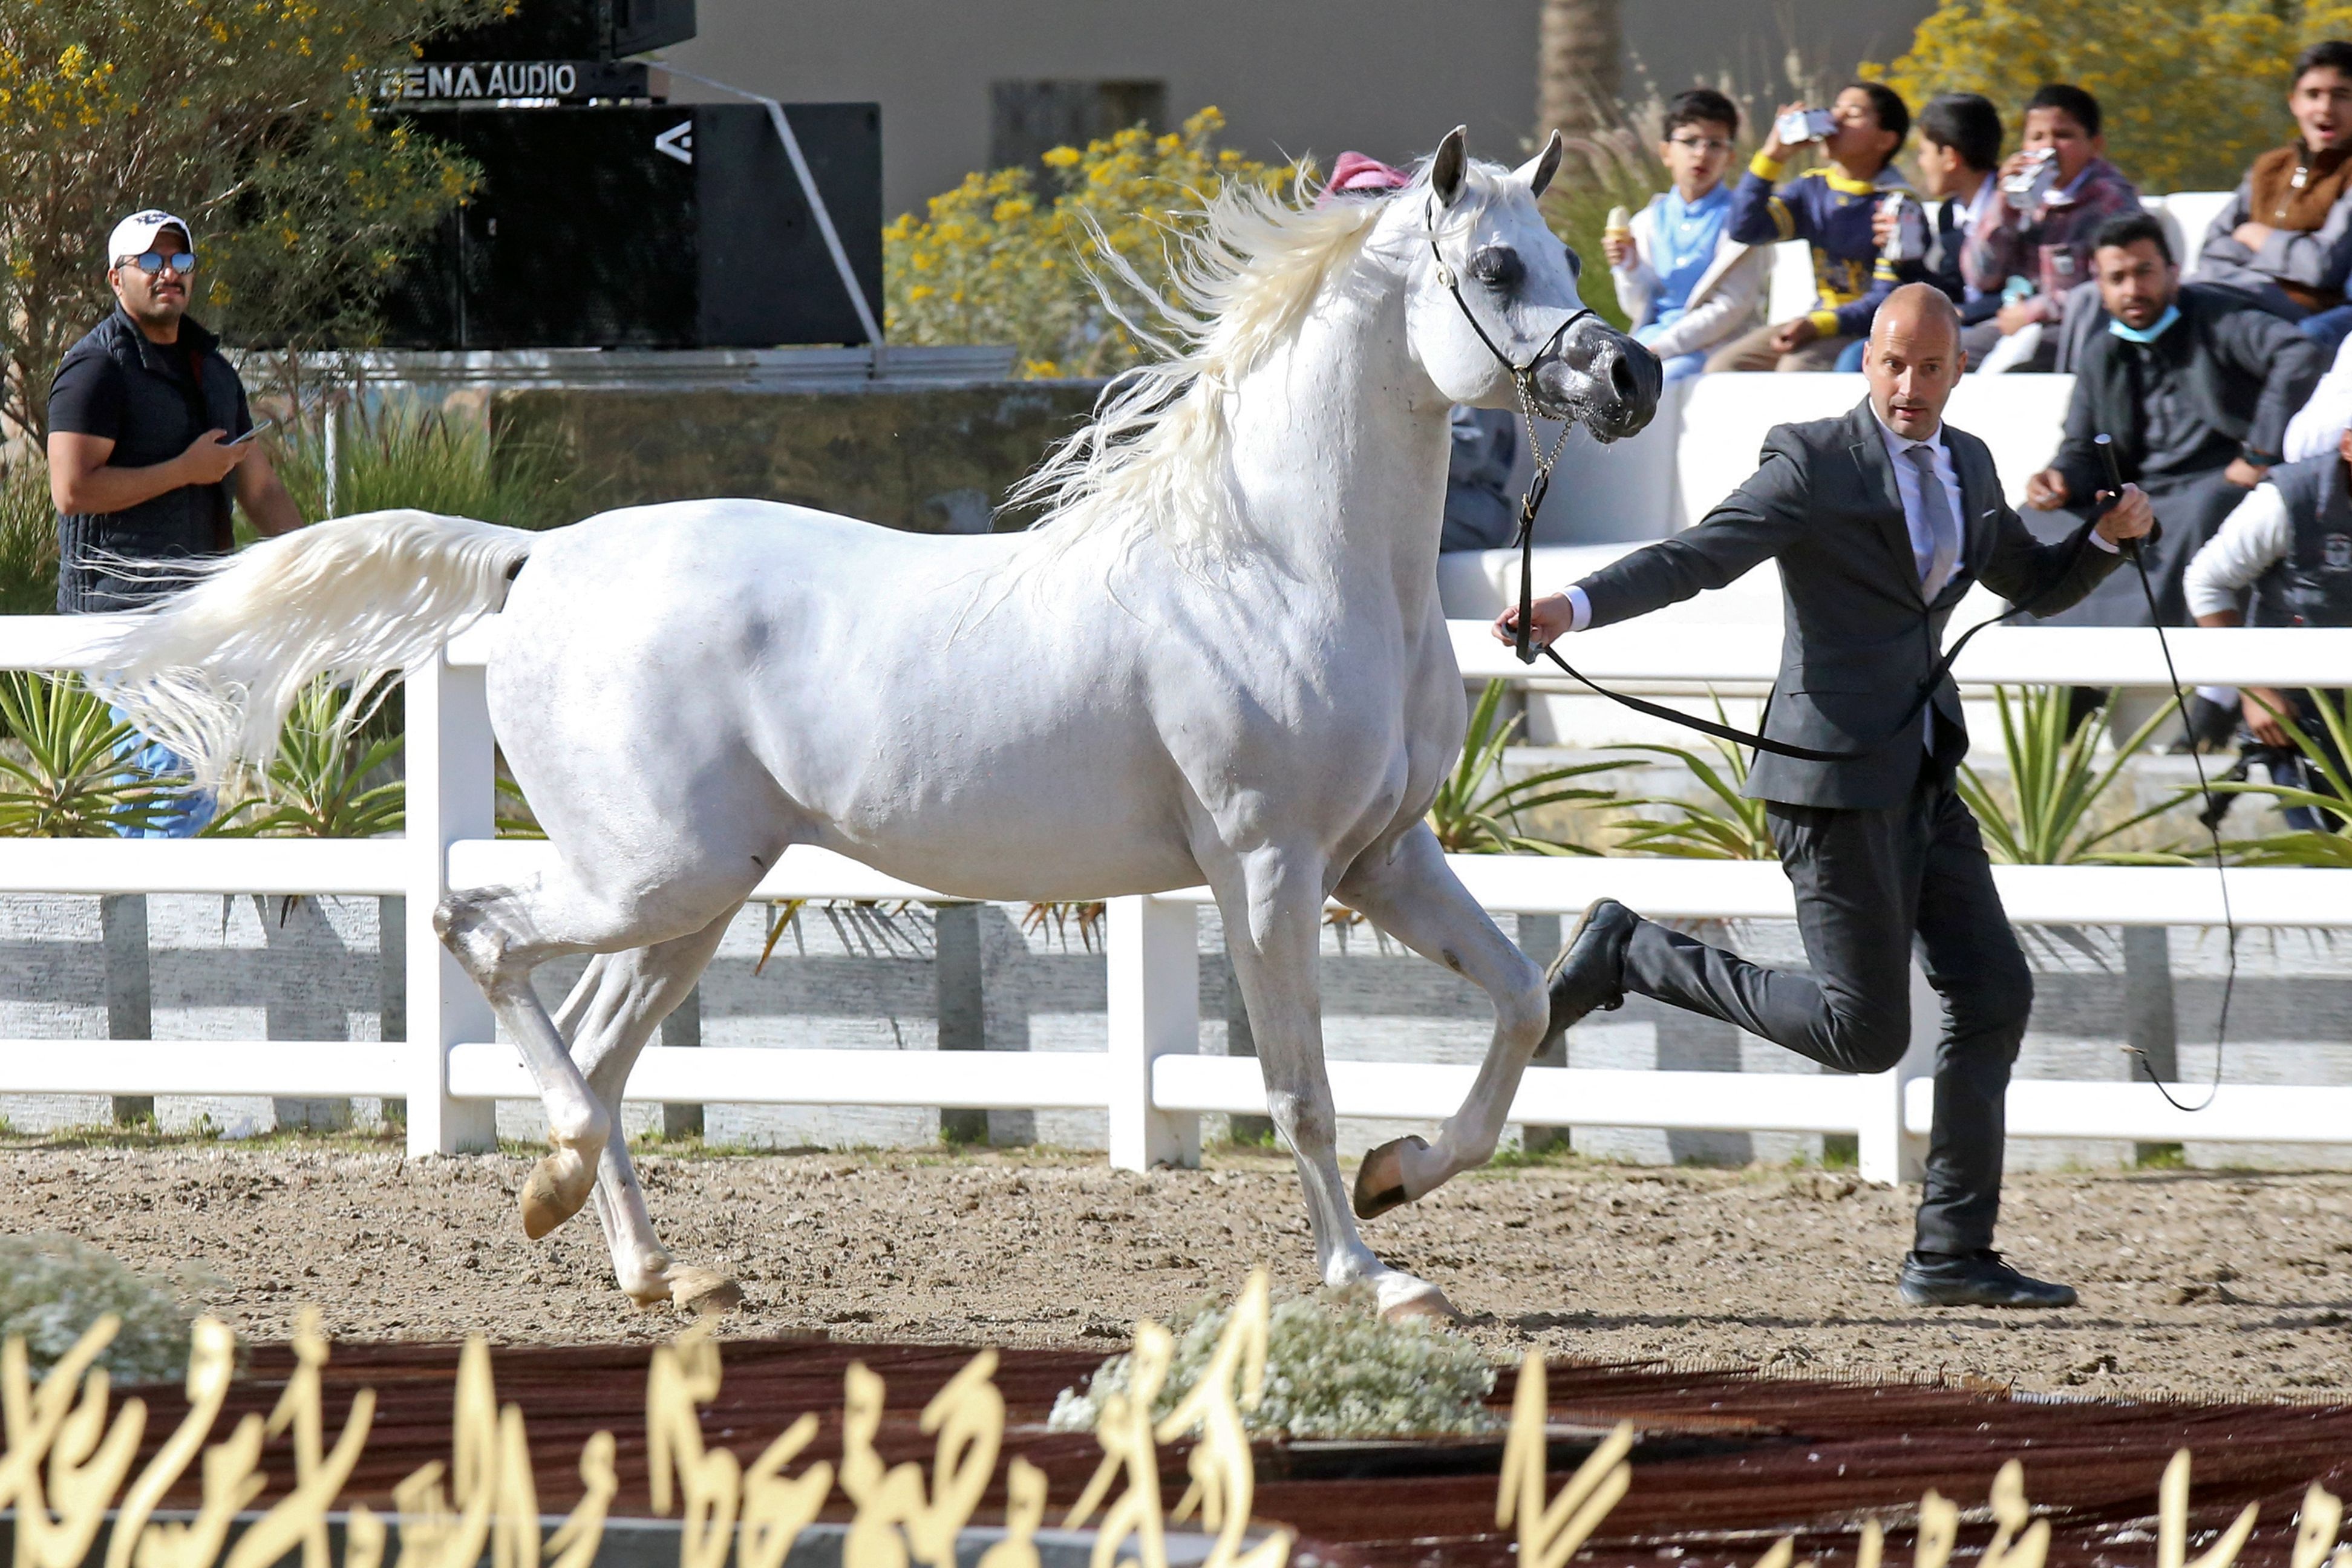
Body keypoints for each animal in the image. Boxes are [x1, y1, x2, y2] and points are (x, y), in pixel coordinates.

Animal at [105, 125, 1656, 1325]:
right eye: (1499, 268)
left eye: (1573, 261)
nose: (1627, 378)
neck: (1281, 561)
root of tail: (539, 555)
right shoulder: (1266, 869)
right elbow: (1299, 1086)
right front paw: (1371, 1274)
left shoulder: (1382, 858)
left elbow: (1521, 1005)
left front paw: (1405, 1177)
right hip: (650, 873)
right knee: (478, 935)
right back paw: (570, 1187)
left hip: (693, 896)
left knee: (597, 1044)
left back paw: (646, 1262)